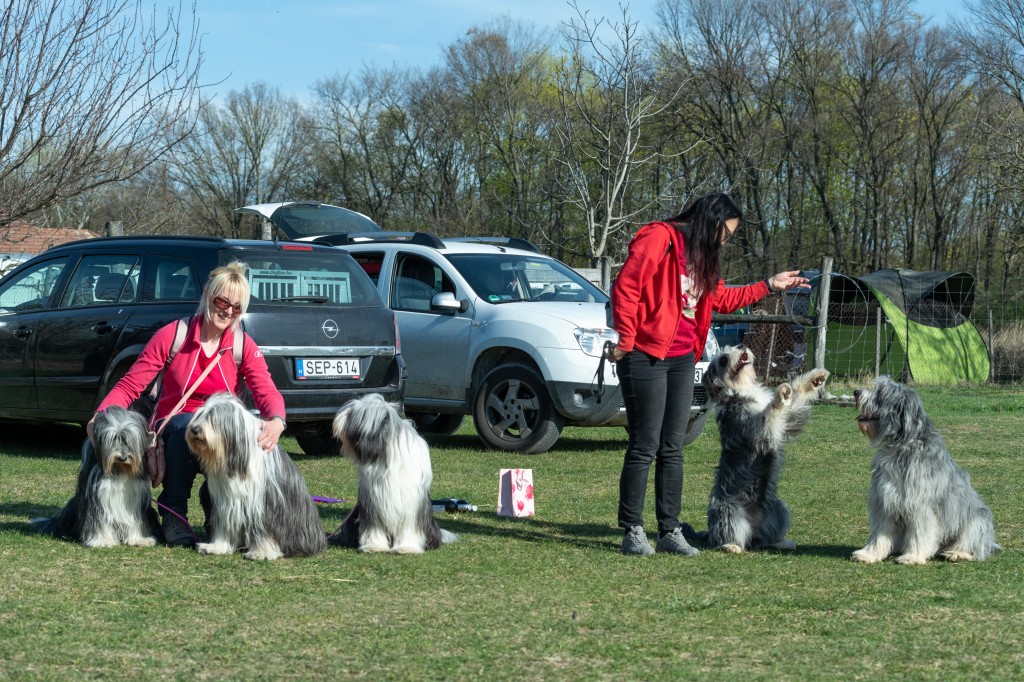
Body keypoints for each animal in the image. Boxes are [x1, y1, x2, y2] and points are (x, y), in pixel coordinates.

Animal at [31, 406, 160, 547]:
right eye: (113, 439)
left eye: (128, 440)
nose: (122, 458)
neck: (118, 470)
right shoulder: (96, 499)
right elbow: (98, 520)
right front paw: (102, 540)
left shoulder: (136, 501)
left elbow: (136, 520)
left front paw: (140, 539)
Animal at [185, 393, 326, 560]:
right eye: (199, 415)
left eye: (213, 416)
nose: (194, 429)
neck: (236, 455)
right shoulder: (225, 502)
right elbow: (224, 526)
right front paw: (217, 547)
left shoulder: (263, 503)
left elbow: (263, 529)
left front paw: (261, 552)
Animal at [327, 394, 456, 553]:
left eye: (351, 414)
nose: (336, 418)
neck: (387, 455)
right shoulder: (372, 502)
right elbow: (374, 527)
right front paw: (374, 546)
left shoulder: (412, 502)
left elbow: (409, 527)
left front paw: (407, 548)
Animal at [684, 345, 829, 553]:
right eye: (723, 360)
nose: (741, 346)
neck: (741, 389)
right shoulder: (756, 429)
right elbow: (769, 414)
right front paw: (780, 396)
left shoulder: (787, 422)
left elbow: (796, 399)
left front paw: (815, 378)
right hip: (731, 511)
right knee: (727, 538)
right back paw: (731, 546)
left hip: (779, 509)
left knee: (763, 540)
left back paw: (781, 542)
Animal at [851, 376, 999, 564]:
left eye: (880, 393)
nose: (856, 392)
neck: (900, 447)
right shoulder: (884, 502)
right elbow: (880, 534)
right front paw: (870, 554)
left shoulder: (920, 505)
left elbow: (920, 533)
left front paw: (913, 556)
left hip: (976, 519)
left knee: (976, 548)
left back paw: (957, 553)